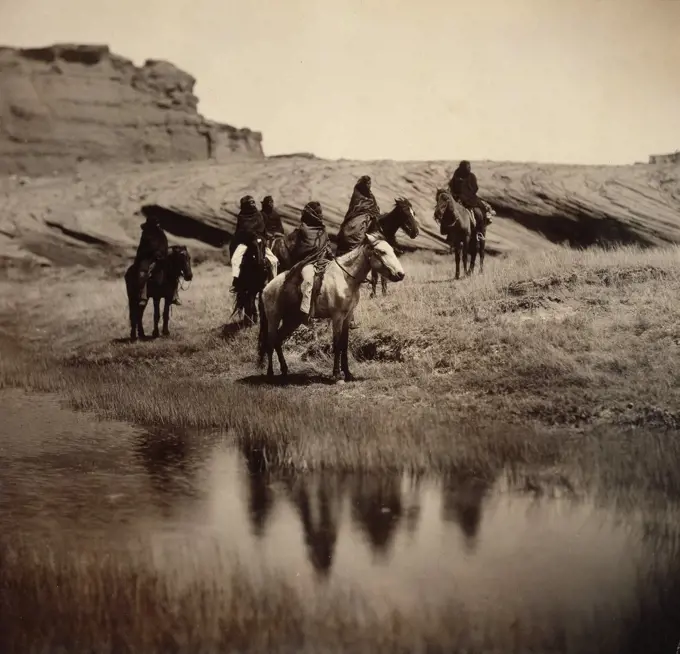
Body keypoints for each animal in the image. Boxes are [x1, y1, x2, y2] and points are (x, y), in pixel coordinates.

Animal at [255, 233, 404, 384]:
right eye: (382, 251)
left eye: (392, 250)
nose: (400, 274)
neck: (345, 278)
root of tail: (266, 288)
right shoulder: (337, 317)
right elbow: (337, 344)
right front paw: (337, 375)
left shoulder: (347, 317)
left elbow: (344, 344)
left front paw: (348, 374)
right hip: (274, 319)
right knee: (270, 342)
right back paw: (270, 374)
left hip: (291, 321)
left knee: (277, 340)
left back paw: (284, 370)